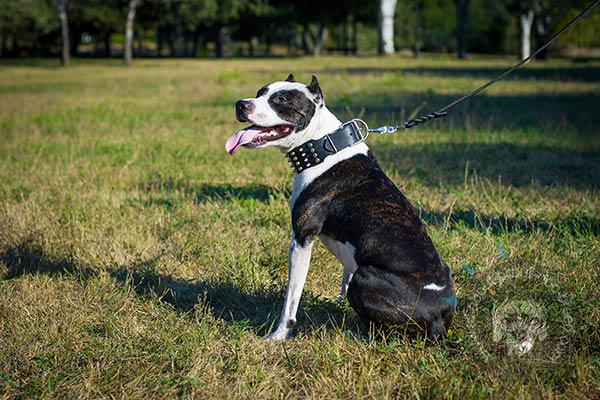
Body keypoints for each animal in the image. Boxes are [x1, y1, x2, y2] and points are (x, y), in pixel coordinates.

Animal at [225, 74, 454, 340]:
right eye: (260, 93)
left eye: (281, 100)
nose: (240, 104)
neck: (322, 147)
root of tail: (440, 318)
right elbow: (345, 273)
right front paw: (338, 302)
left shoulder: (301, 240)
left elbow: (291, 299)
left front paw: (279, 334)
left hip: (365, 279)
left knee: (380, 333)